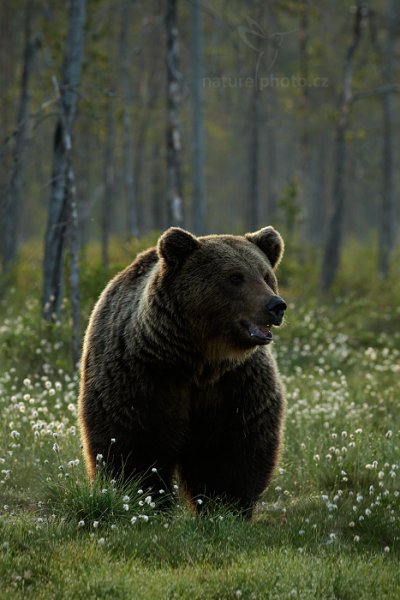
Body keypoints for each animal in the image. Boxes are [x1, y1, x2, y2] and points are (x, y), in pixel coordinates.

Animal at [78, 225, 286, 516]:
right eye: (235, 277)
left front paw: (225, 506)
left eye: (267, 276)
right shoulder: (142, 378)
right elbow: (134, 445)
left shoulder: (236, 384)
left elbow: (231, 451)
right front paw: (148, 501)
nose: (276, 306)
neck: (199, 362)